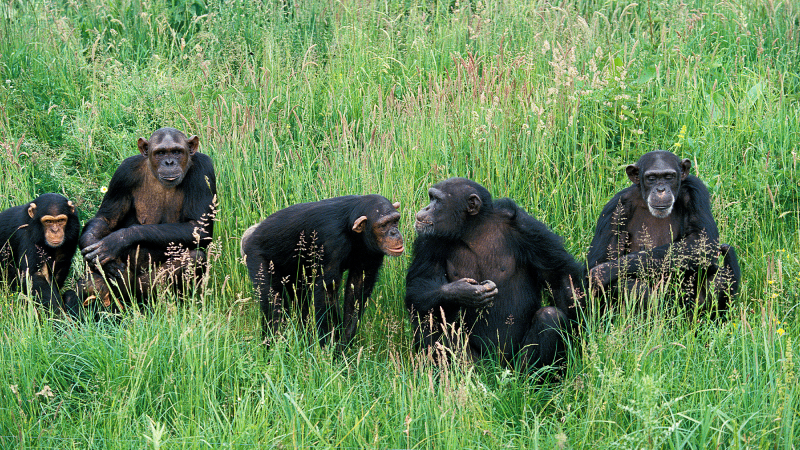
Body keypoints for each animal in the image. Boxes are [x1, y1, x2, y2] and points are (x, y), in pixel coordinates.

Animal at [77, 128, 216, 308]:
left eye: (177, 152)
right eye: (160, 153)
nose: (169, 162)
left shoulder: (203, 169)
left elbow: (199, 227)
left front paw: (119, 239)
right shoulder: (123, 173)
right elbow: (106, 219)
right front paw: (92, 246)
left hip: (145, 289)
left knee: (194, 258)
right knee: (88, 283)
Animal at [239, 194, 404, 348]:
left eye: (395, 220)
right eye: (383, 225)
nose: (395, 232)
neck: (353, 231)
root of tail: (250, 233)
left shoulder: (371, 251)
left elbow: (358, 287)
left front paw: (343, 344)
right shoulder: (332, 240)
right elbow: (327, 291)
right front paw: (329, 345)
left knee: (301, 300)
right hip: (256, 256)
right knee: (274, 304)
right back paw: (274, 346)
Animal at [406, 178, 580, 370]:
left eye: (437, 200)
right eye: (431, 198)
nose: (426, 208)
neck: (473, 231)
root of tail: (496, 367)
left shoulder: (527, 228)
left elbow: (558, 277)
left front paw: (579, 332)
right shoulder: (428, 241)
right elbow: (419, 285)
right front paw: (463, 291)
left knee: (550, 316)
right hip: (477, 363)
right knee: (428, 320)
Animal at [584, 150, 740, 316]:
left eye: (669, 177)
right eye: (651, 178)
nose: (660, 190)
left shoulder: (695, 190)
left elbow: (701, 241)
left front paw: (607, 270)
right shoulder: (615, 209)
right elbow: (599, 259)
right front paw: (604, 270)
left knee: (716, 277)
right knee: (626, 284)